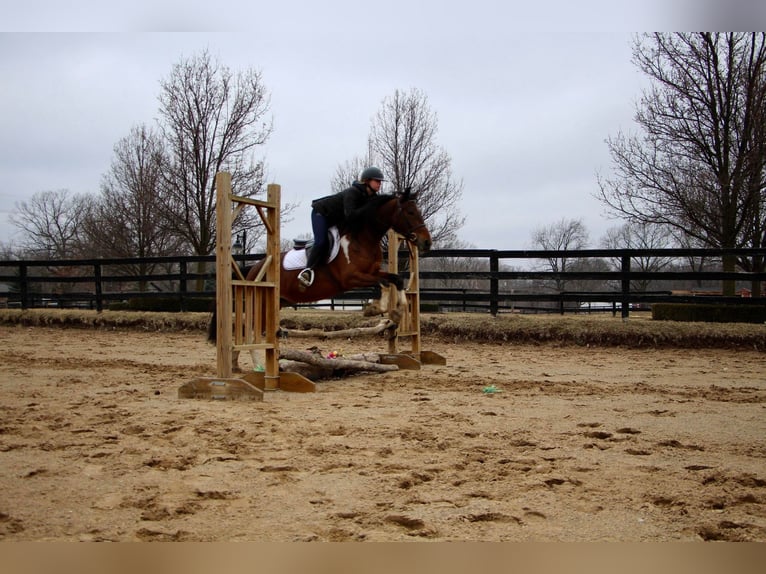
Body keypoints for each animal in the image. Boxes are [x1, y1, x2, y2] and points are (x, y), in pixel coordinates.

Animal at [208, 189, 432, 348]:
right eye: (410, 212)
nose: (426, 243)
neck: (363, 238)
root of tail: (255, 267)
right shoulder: (351, 278)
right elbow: (383, 282)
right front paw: (377, 309)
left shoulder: (373, 272)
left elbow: (395, 279)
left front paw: (395, 312)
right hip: (260, 300)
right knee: (250, 328)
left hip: (277, 302)